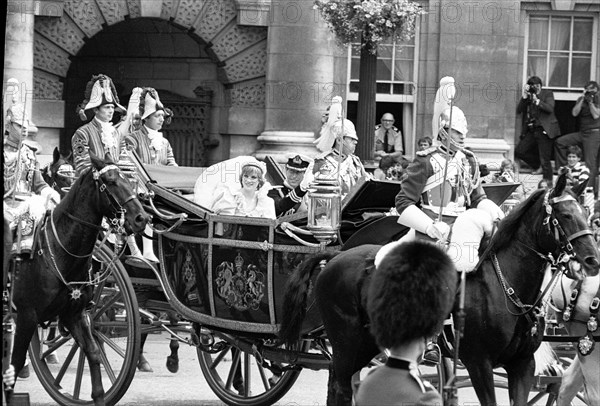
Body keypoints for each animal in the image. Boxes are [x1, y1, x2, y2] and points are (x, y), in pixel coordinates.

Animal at [8, 153, 149, 406]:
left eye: (127, 179)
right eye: (111, 181)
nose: (142, 218)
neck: (56, 250)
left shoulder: (74, 314)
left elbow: (93, 353)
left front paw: (98, 396)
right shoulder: (27, 316)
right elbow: (14, 363)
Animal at [282, 173, 600, 404]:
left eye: (584, 213)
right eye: (564, 215)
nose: (592, 260)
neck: (506, 287)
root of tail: (336, 255)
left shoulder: (522, 365)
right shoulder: (478, 363)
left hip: (362, 344)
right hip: (347, 343)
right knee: (341, 388)